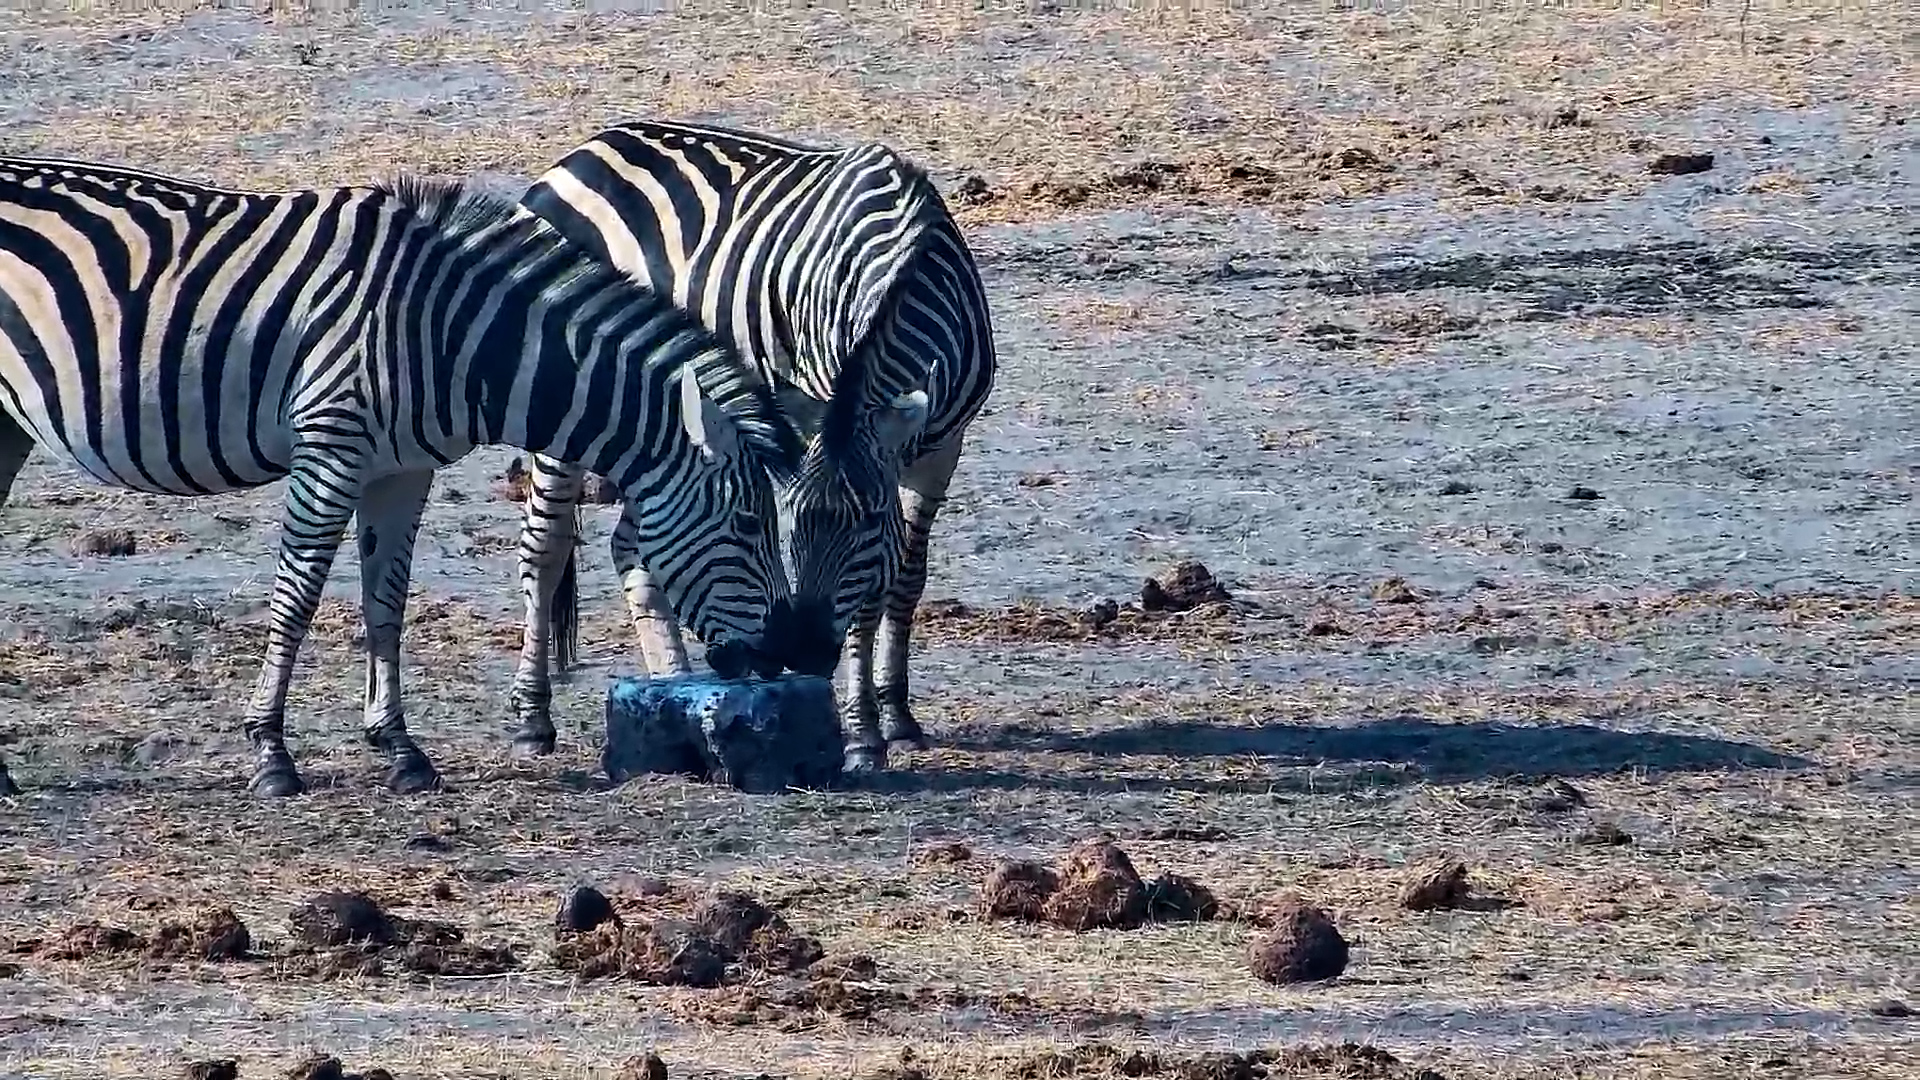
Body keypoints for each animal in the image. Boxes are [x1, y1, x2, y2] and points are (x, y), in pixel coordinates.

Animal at [0, 155, 820, 800]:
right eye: (749, 523)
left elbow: (385, 602)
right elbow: (297, 601)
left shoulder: (402, 469)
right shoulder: (330, 446)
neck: (451, 334)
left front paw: (400, 749)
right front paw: (271, 753)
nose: (795, 648)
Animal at [506, 119, 998, 773]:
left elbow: (903, 577)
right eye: (784, 523)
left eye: (870, 522)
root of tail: (587, 148)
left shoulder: (943, 448)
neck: (905, 264)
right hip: (570, 394)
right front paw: (863, 732)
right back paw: (533, 718)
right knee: (547, 547)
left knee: (631, 546)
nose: (807, 653)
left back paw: (672, 685)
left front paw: (894, 715)